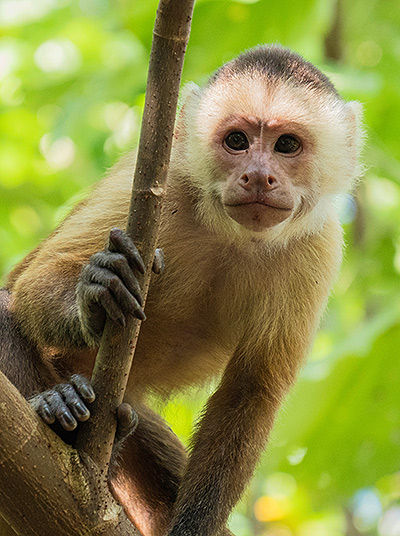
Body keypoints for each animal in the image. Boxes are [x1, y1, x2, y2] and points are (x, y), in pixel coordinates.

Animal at [0, 46, 362, 536]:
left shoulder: (318, 247)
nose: (258, 176)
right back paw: (63, 407)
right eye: (237, 141)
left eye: (286, 145)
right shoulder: (158, 184)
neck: (231, 234)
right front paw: (94, 298)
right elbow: (33, 282)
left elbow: (250, 392)